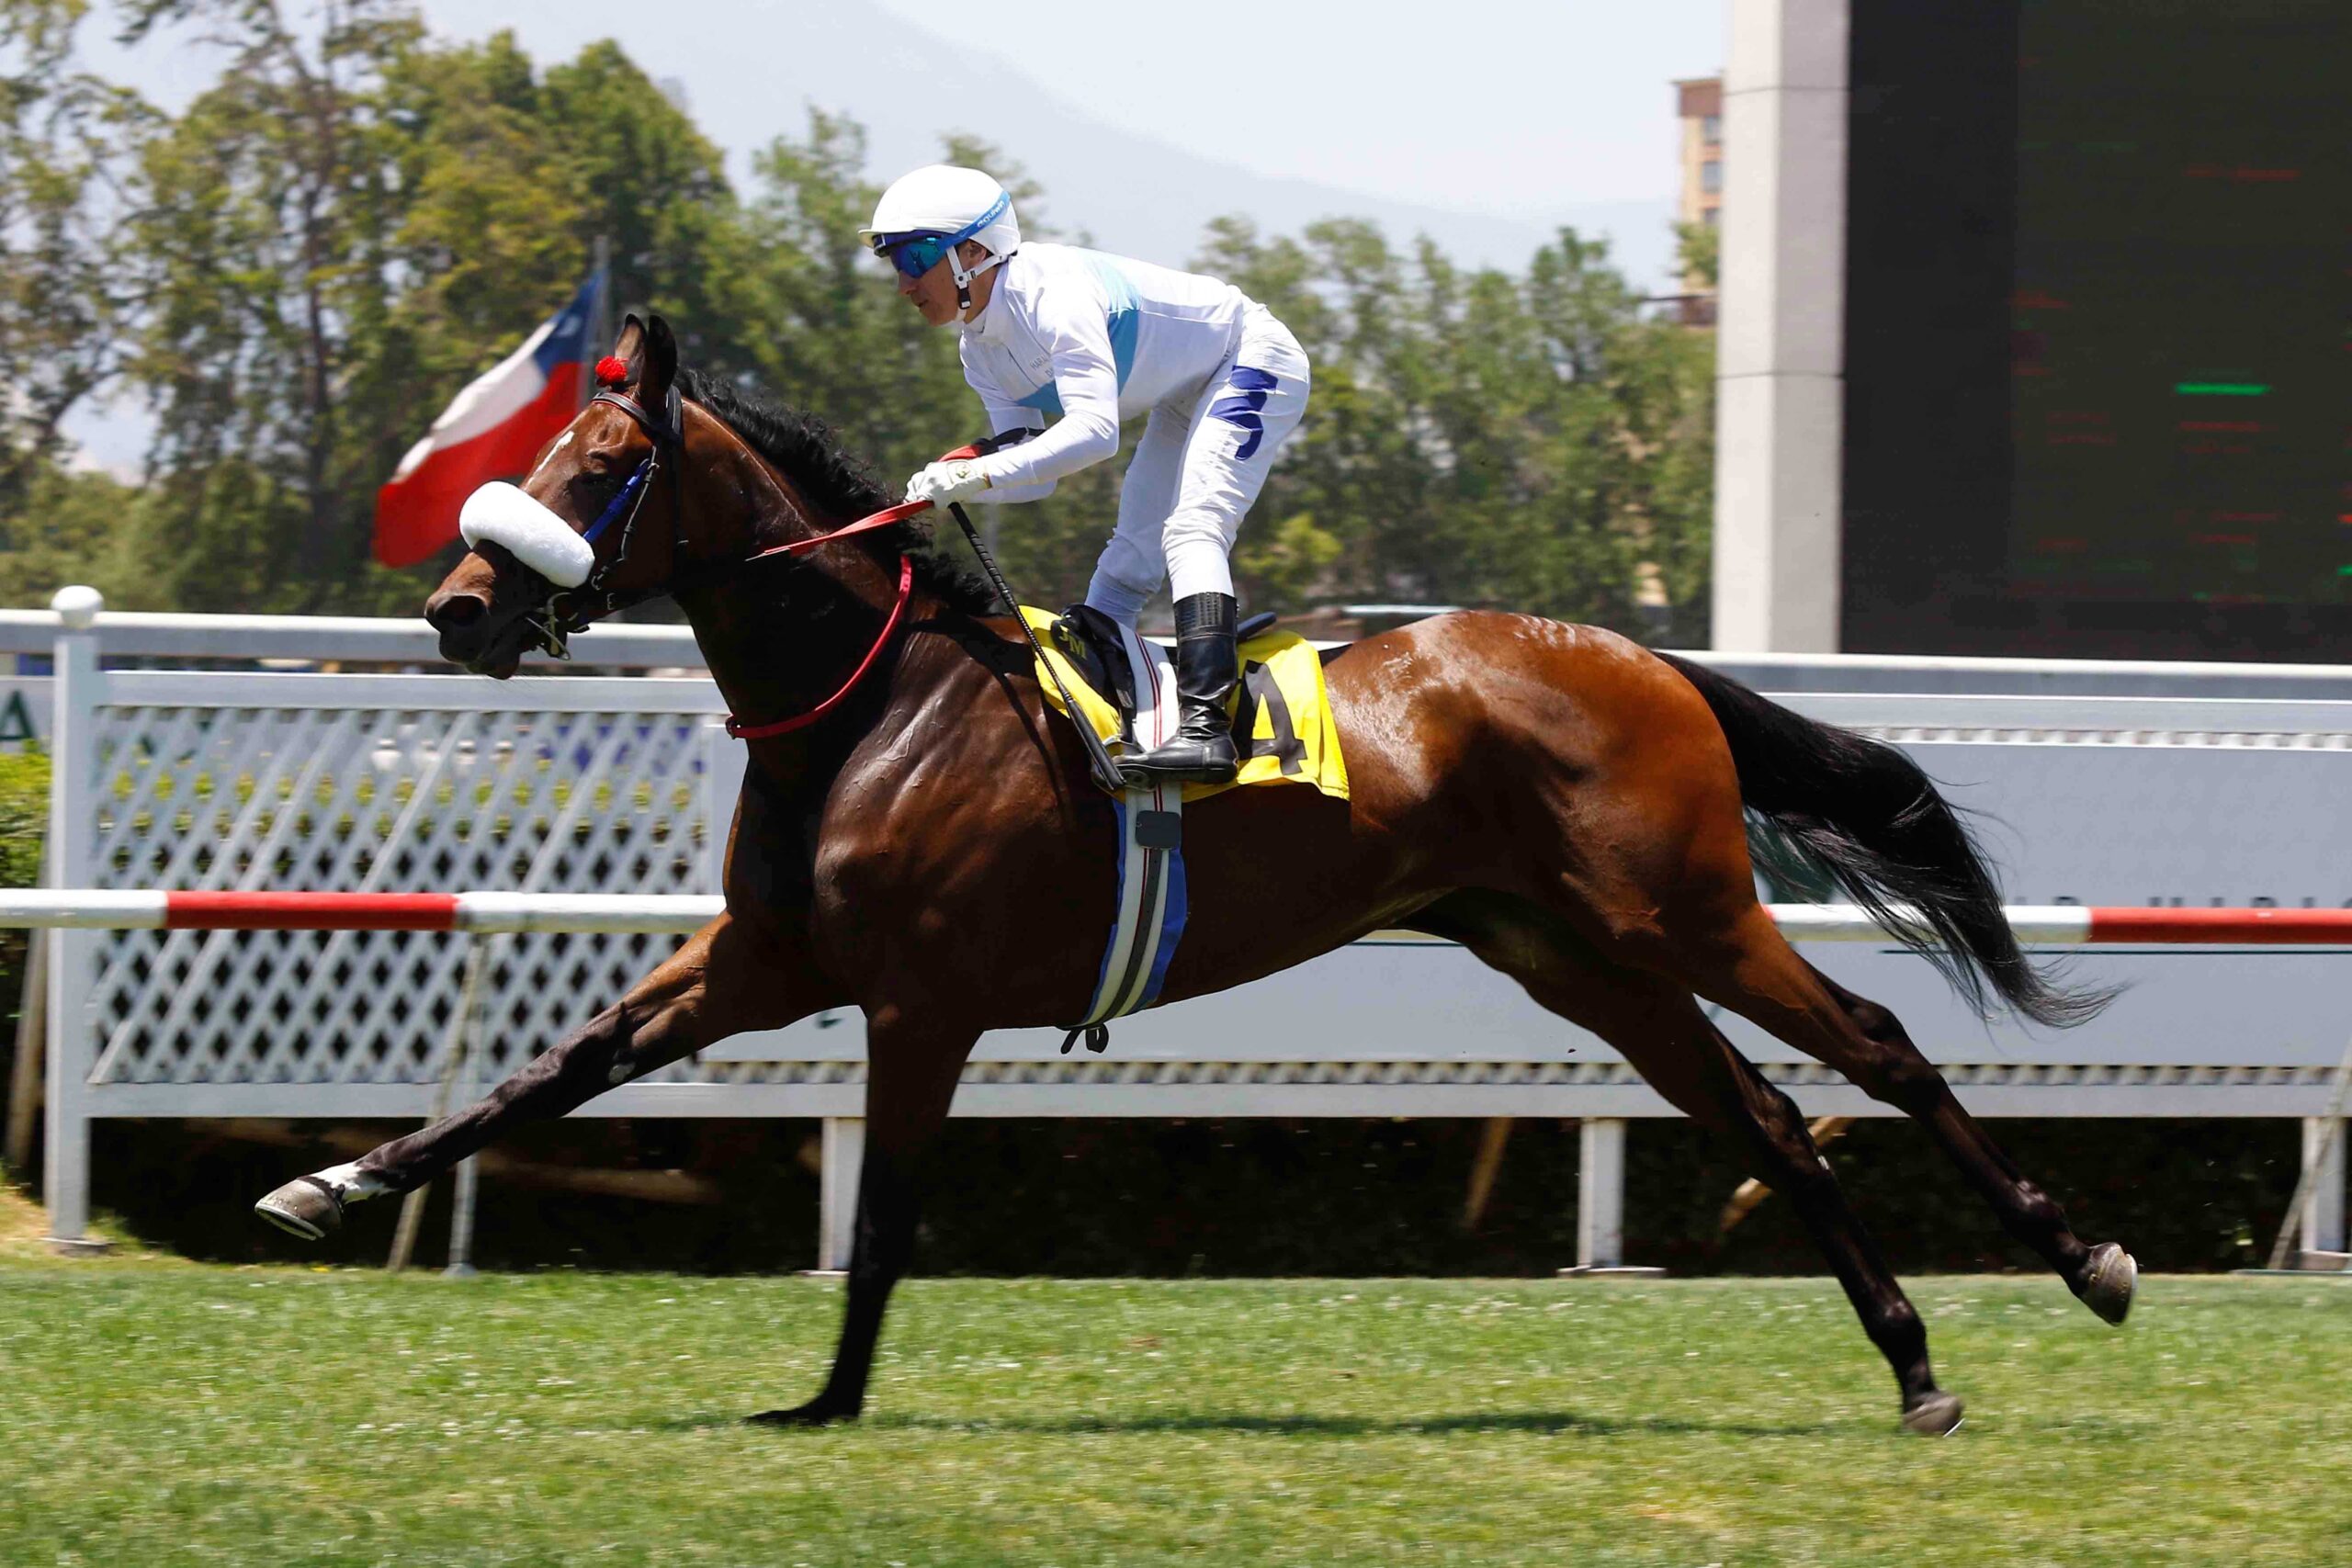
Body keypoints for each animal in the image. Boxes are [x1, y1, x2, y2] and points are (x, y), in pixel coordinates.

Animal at [256, 314, 2134, 1436]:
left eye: (598, 465)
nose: (459, 610)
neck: (876, 704)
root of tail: (1645, 657)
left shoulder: (919, 999)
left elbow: (882, 1212)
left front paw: (832, 1399)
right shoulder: (765, 961)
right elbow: (556, 1069)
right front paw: (331, 1185)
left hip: (1685, 911)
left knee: (1878, 1047)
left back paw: (2083, 1261)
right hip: (1575, 954)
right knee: (1768, 1116)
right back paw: (1911, 1359)